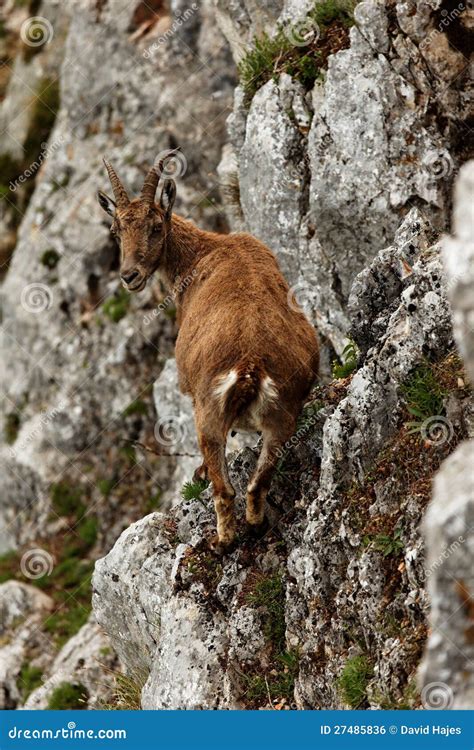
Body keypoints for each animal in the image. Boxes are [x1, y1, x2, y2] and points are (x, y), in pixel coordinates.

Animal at [98, 154, 319, 551]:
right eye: (116, 229)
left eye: (156, 226)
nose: (130, 275)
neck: (204, 251)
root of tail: (250, 366)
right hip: (283, 415)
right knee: (257, 483)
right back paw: (257, 525)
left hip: (208, 415)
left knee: (224, 489)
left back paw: (222, 541)